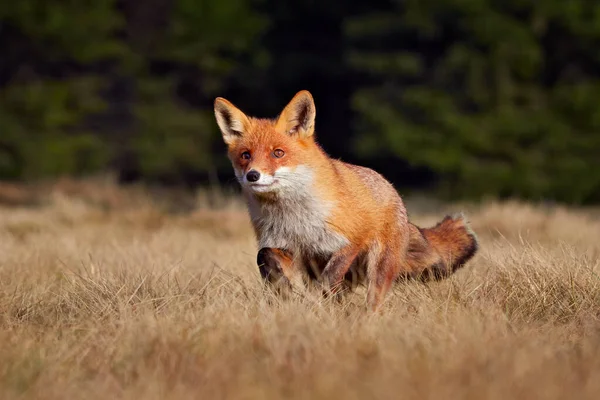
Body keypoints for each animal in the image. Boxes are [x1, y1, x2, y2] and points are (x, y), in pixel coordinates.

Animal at [213, 91, 480, 312]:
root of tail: (393, 192)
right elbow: (265, 255)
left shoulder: (349, 239)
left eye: (277, 153)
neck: (294, 218)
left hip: (377, 268)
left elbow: (331, 275)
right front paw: (284, 287)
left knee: (371, 300)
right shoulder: (289, 248)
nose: (252, 175)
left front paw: (313, 300)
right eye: (246, 155)